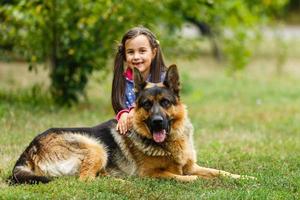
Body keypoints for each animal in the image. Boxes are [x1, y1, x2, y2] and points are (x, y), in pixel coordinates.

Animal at [11, 65, 244, 184]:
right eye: (147, 104)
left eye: (165, 103)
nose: (157, 123)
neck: (168, 143)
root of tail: (30, 149)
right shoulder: (150, 174)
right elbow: (187, 177)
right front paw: (196, 180)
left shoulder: (191, 165)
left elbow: (219, 172)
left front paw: (243, 176)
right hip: (95, 146)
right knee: (85, 179)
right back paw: (120, 182)